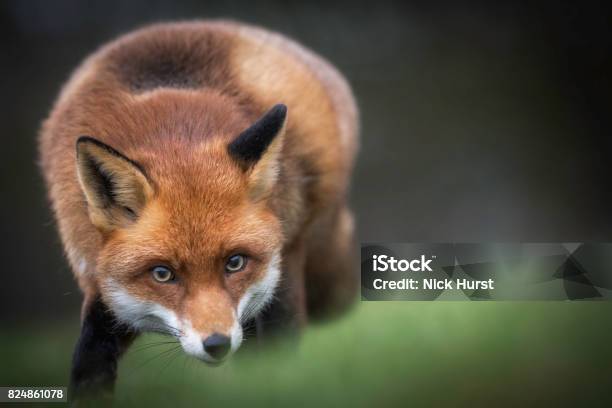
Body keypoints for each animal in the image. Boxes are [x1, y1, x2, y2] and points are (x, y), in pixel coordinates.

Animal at [37, 19, 358, 398]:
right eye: (162, 274)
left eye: (235, 263)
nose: (217, 344)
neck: (172, 129)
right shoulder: (102, 285)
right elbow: (89, 358)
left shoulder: (283, 276)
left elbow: (280, 353)